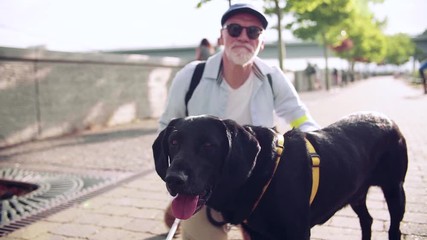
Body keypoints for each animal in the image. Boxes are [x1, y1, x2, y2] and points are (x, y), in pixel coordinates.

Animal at [153, 113, 408, 240]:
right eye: (174, 142)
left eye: (208, 146)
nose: (174, 179)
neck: (265, 174)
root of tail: (389, 120)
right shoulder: (258, 235)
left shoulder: (298, 233)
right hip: (356, 195)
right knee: (367, 220)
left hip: (395, 190)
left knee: (394, 228)